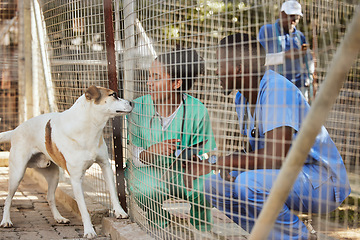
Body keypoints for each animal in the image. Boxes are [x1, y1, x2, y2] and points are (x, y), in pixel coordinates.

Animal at [0, 85, 134, 237]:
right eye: (113, 95)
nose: (132, 102)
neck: (89, 127)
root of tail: (16, 130)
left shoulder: (105, 165)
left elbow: (113, 192)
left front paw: (120, 212)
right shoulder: (76, 179)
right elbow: (83, 208)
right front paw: (89, 230)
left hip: (53, 175)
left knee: (50, 197)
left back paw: (59, 218)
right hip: (17, 174)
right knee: (8, 198)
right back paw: (6, 221)